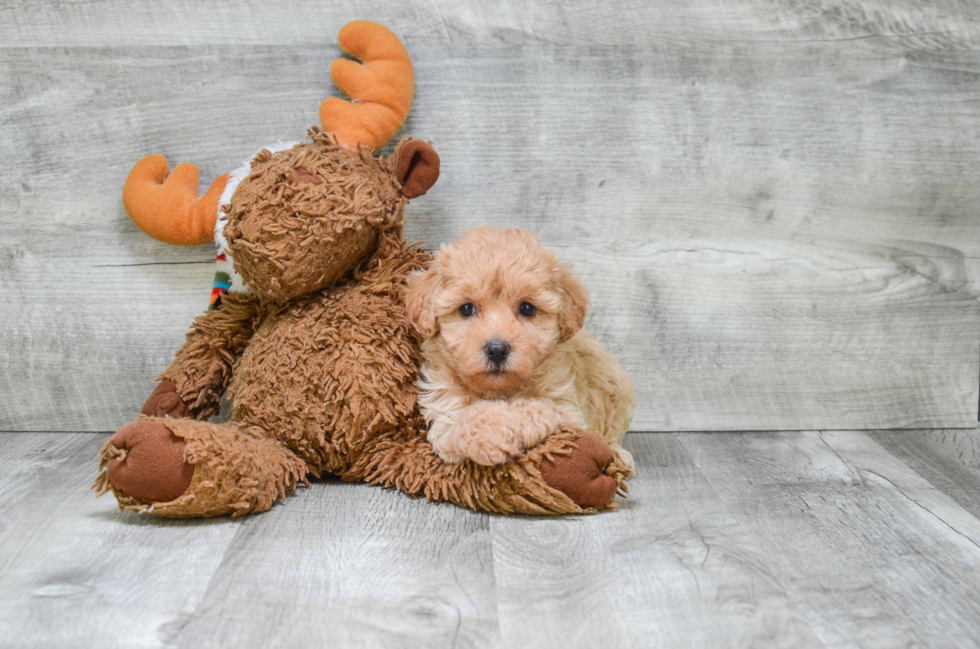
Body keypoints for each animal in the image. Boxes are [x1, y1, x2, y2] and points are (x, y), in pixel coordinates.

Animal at [404, 227, 636, 466]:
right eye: (466, 309)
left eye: (527, 308)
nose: (497, 350)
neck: (498, 390)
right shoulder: (444, 409)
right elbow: (459, 426)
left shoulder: (566, 407)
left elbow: (527, 408)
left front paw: (489, 433)